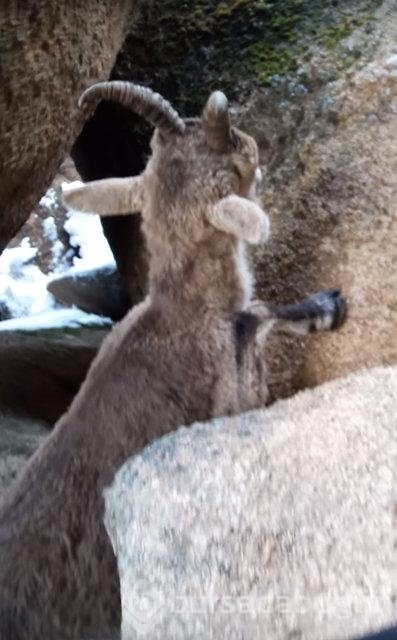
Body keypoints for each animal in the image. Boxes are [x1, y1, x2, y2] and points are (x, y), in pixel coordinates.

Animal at [0, 81, 344, 640]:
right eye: (230, 167)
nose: (251, 144)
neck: (181, 311)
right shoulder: (236, 385)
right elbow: (260, 316)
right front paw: (327, 307)